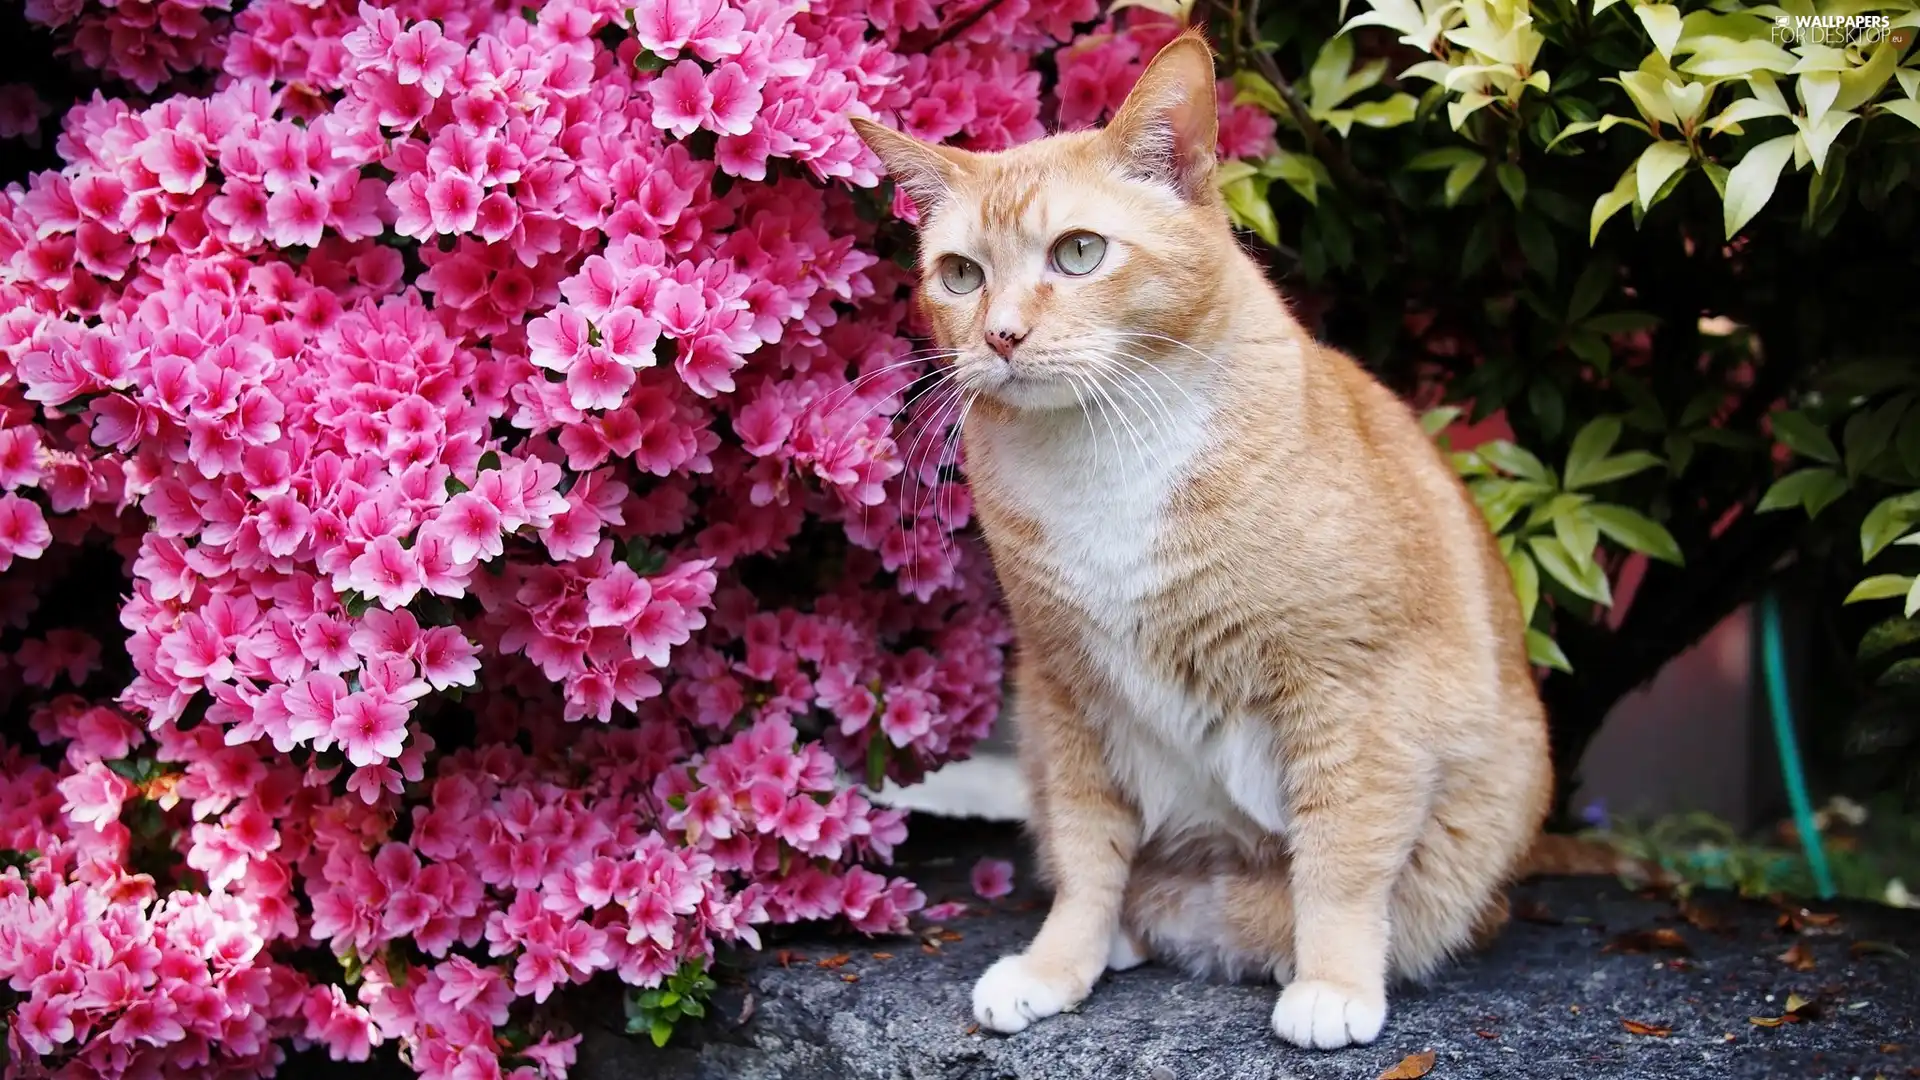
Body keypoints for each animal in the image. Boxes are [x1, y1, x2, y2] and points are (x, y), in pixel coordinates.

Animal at [856, 29, 1559, 1045]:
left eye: (1078, 253)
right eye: (960, 274)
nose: (1001, 336)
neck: (1100, 454)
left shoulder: (1351, 689)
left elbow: (1341, 856)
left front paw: (1334, 982)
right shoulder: (1069, 695)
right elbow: (1086, 859)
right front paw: (1057, 965)